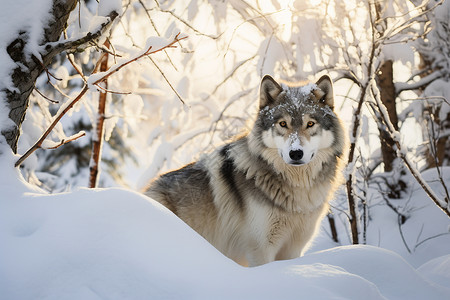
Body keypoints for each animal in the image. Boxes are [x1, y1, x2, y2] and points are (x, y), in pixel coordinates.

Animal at [144, 75, 348, 268]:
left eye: (310, 124)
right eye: (283, 124)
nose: (296, 153)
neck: (297, 191)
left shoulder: (293, 249)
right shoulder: (261, 250)